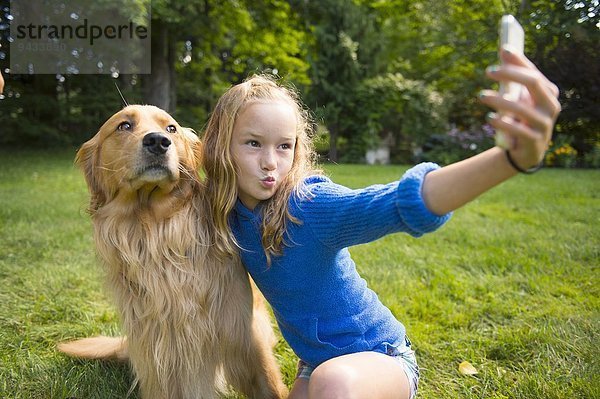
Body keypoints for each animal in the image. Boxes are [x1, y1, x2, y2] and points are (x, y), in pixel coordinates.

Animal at [57, 105, 288, 399]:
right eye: (124, 126)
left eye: (171, 128)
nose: (158, 141)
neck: (153, 229)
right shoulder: (155, 346)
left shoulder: (242, 329)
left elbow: (269, 383)